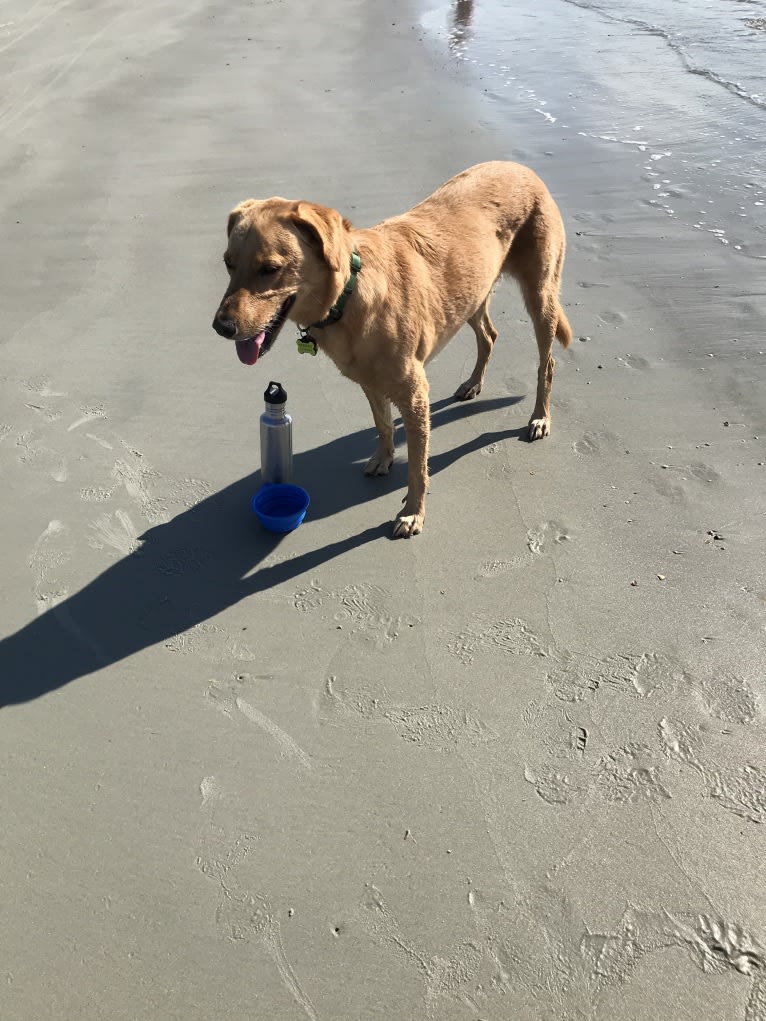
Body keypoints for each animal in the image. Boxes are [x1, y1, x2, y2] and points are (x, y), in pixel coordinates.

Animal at [213, 161, 571, 535]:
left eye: (270, 269)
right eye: (228, 263)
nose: (221, 327)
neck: (348, 296)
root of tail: (521, 167)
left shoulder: (414, 394)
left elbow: (417, 466)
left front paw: (413, 512)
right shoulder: (370, 382)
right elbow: (383, 425)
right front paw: (383, 459)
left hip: (540, 296)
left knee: (547, 364)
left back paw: (540, 418)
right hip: (471, 294)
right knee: (489, 336)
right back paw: (473, 383)